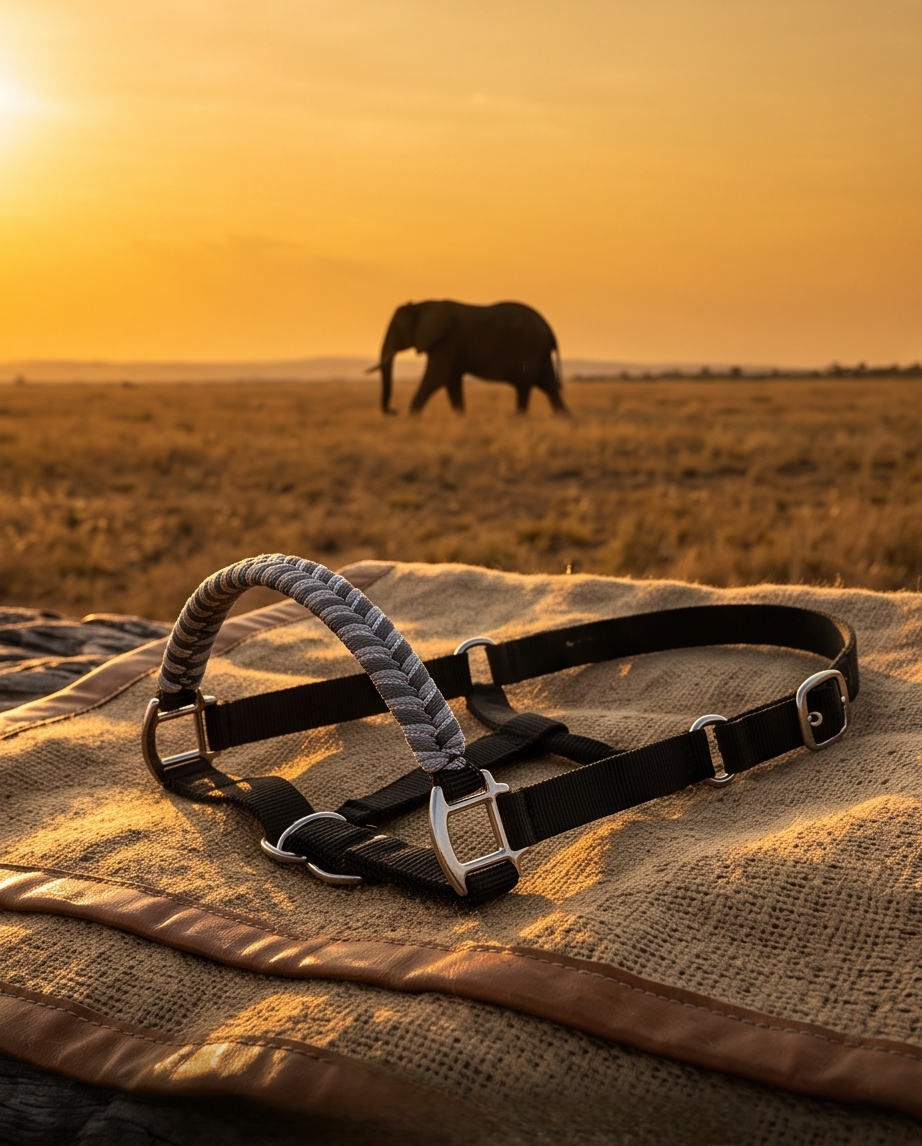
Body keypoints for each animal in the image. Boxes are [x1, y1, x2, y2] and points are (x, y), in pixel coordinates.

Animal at [368, 299, 567, 415]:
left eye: (397, 329)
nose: (394, 410)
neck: (422, 306)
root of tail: (549, 330)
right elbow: (451, 381)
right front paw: (460, 418)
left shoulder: (446, 341)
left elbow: (437, 377)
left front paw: (411, 418)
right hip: (540, 352)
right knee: (549, 387)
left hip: (532, 348)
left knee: (525, 387)